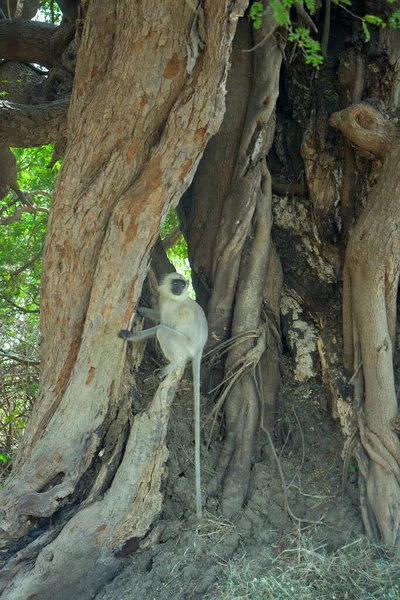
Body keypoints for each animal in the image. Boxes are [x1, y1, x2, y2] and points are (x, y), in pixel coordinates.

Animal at [118, 274, 208, 520]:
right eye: (176, 283)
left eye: (182, 284)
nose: (179, 287)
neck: (176, 298)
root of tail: (199, 348)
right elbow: (158, 317)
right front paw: (140, 309)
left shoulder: (173, 308)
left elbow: (162, 325)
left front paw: (130, 336)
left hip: (184, 346)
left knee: (165, 333)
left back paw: (172, 366)